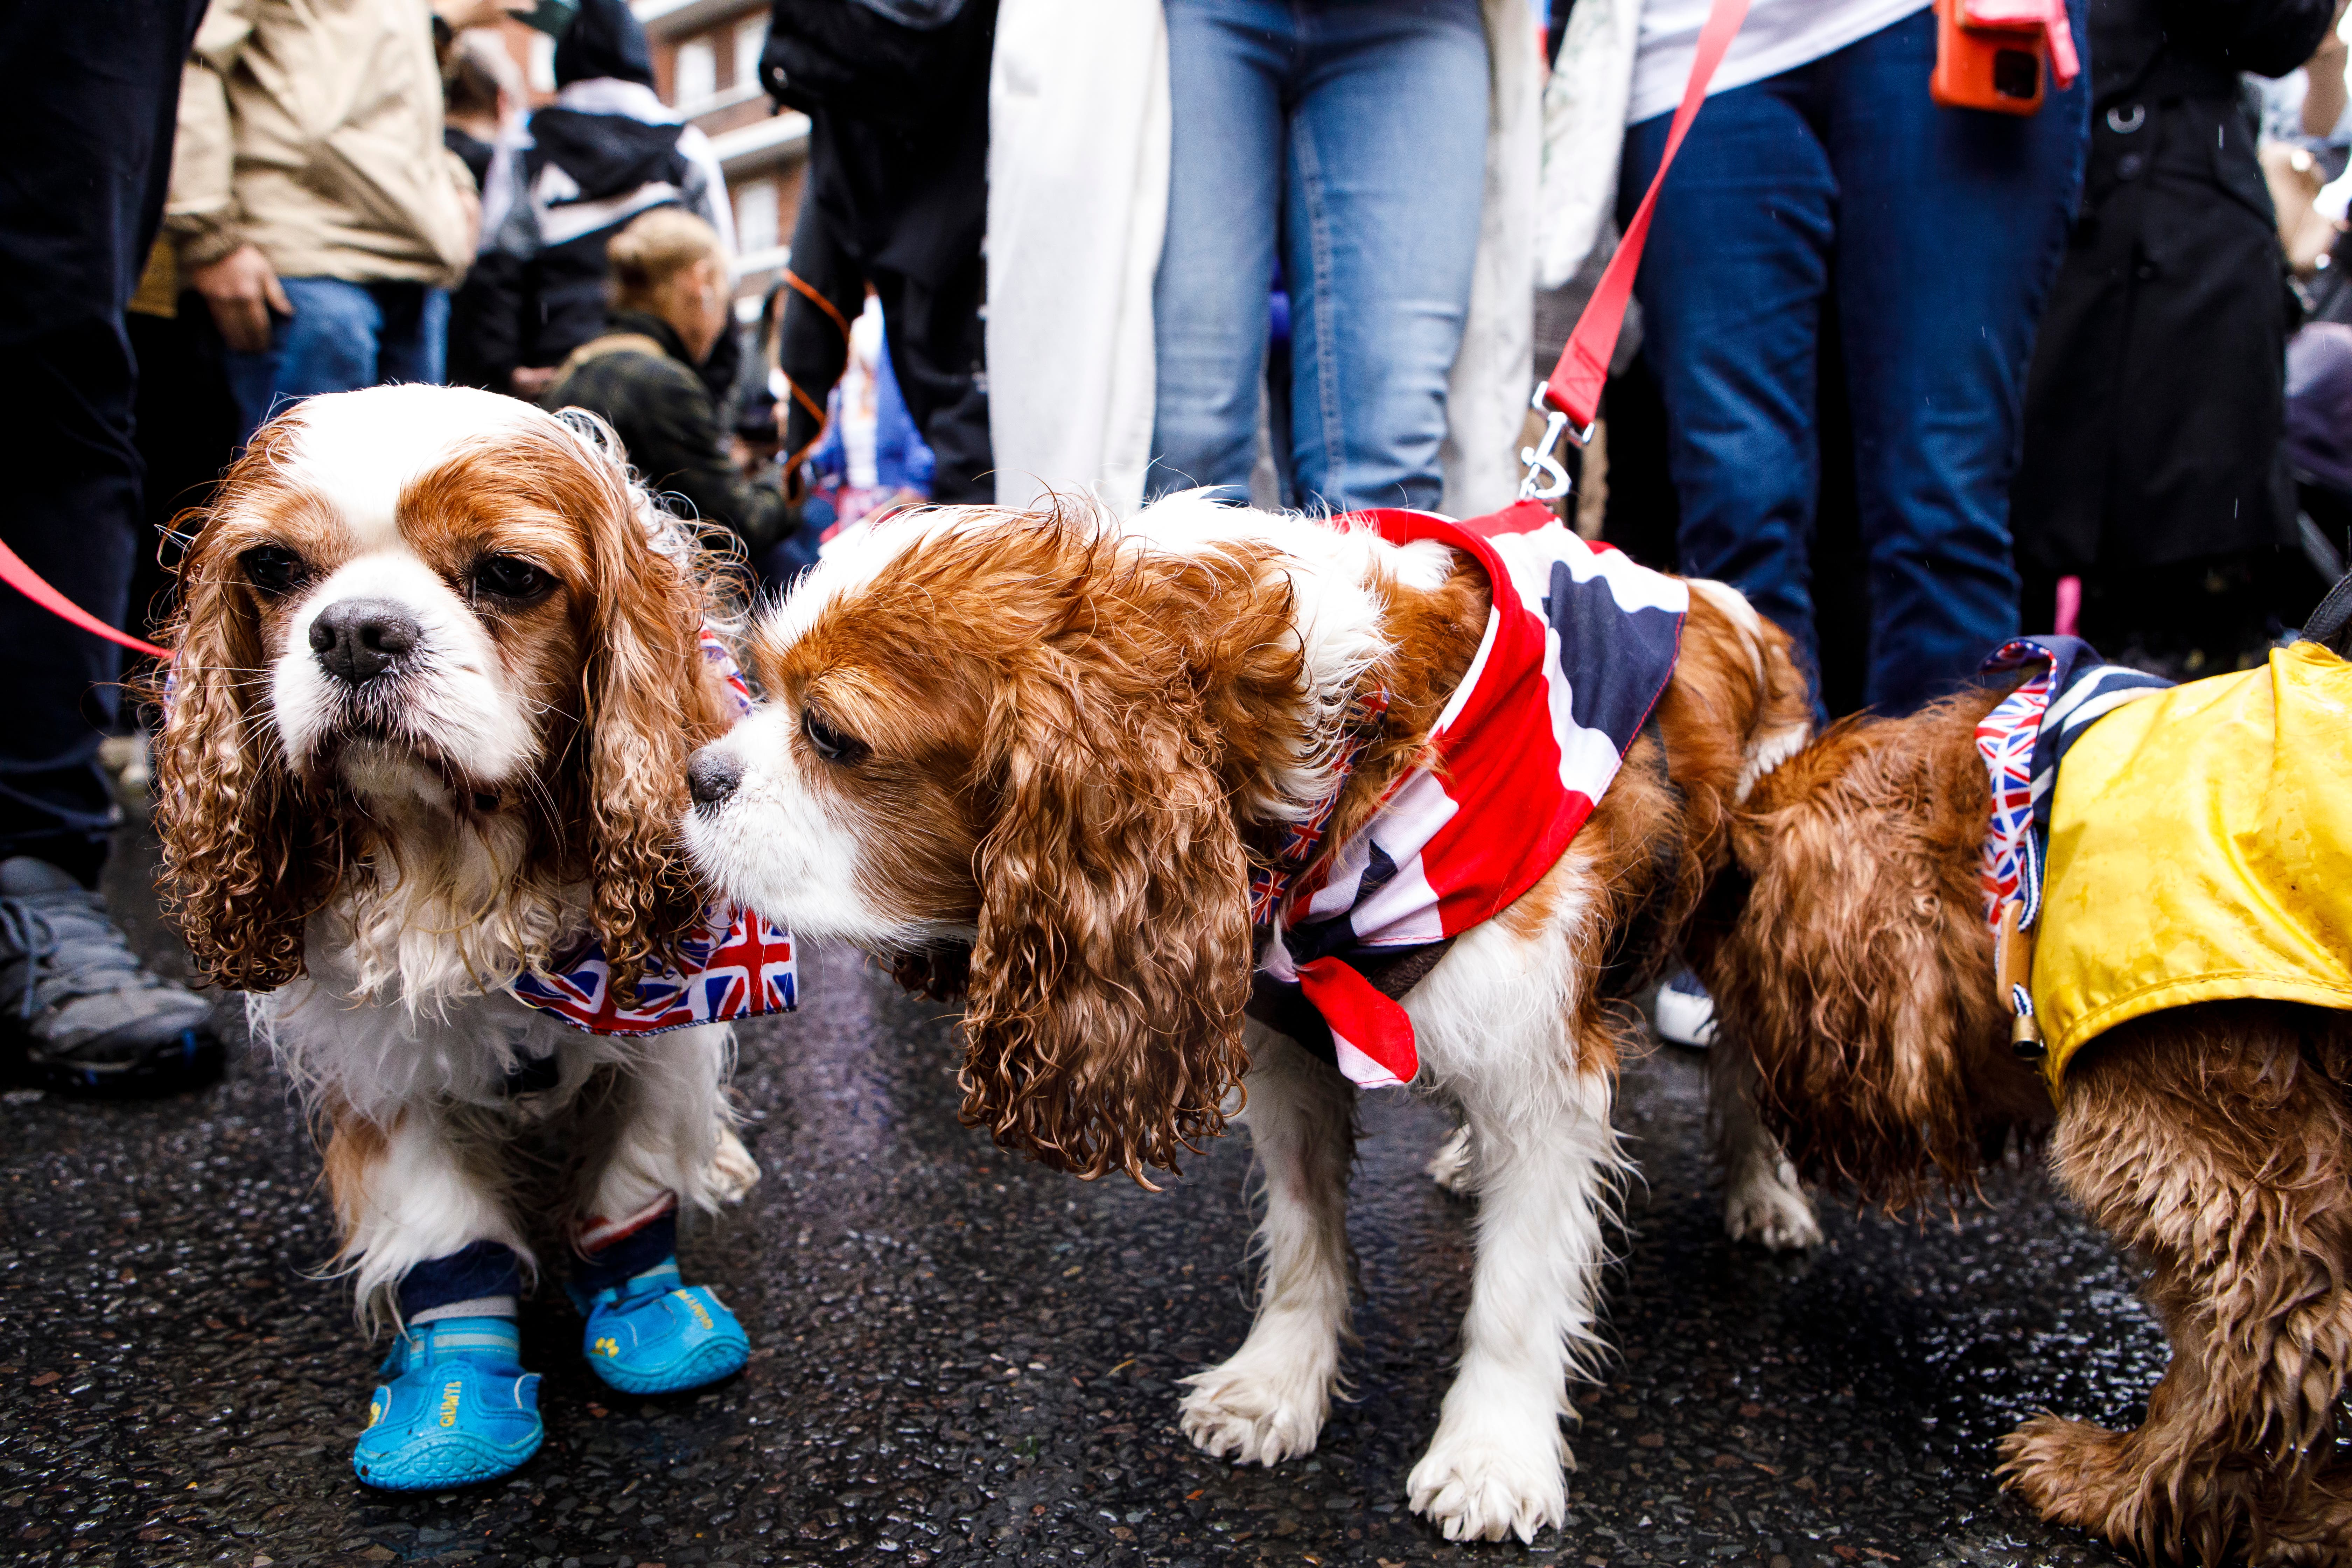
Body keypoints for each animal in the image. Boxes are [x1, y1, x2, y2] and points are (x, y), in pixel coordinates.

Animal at [156, 385, 799, 1495]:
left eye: (509, 575)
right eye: (274, 568)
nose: (356, 632)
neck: (460, 864)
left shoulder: (658, 1039)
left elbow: (631, 1190)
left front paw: (656, 1322)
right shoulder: (379, 1069)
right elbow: (443, 1235)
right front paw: (451, 1408)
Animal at [682, 493, 1815, 1542]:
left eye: (831, 734)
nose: (696, 774)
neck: (1345, 756)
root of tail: (1736, 610)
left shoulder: (1542, 1080)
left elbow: (1514, 1289)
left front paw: (1491, 1454)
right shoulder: (1291, 1057)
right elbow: (1303, 1236)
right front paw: (1276, 1386)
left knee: (1744, 1070)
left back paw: (1763, 1192)